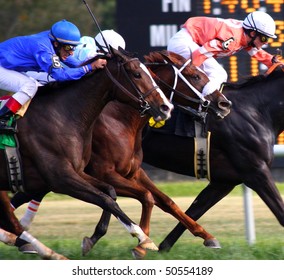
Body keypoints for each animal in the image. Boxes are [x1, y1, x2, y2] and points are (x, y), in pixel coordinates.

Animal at [0, 47, 173, 260]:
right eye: (137, 74)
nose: (166, 107)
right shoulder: (63, 178)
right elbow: (109, 199)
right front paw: (142, 238)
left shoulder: (81, 172)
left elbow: (111, 194)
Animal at [143, 65, 284, 252]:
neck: (257, 111)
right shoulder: (255, 171)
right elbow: (281, 213)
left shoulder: (224, 182)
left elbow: (194, 210)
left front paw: (164, 247)